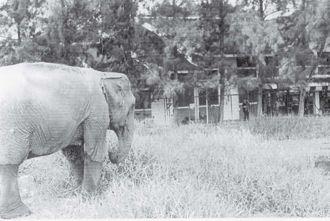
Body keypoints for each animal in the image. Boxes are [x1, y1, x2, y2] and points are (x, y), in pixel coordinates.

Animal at [0, 62, 135, 219]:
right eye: (132, 106)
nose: (112, 153)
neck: (104, 74)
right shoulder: (97, 112)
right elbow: (95, 152)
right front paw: (91, 198)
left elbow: (74, 154)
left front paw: (76, 193)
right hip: (11, 125)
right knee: (10, 162)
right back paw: (20, 213)